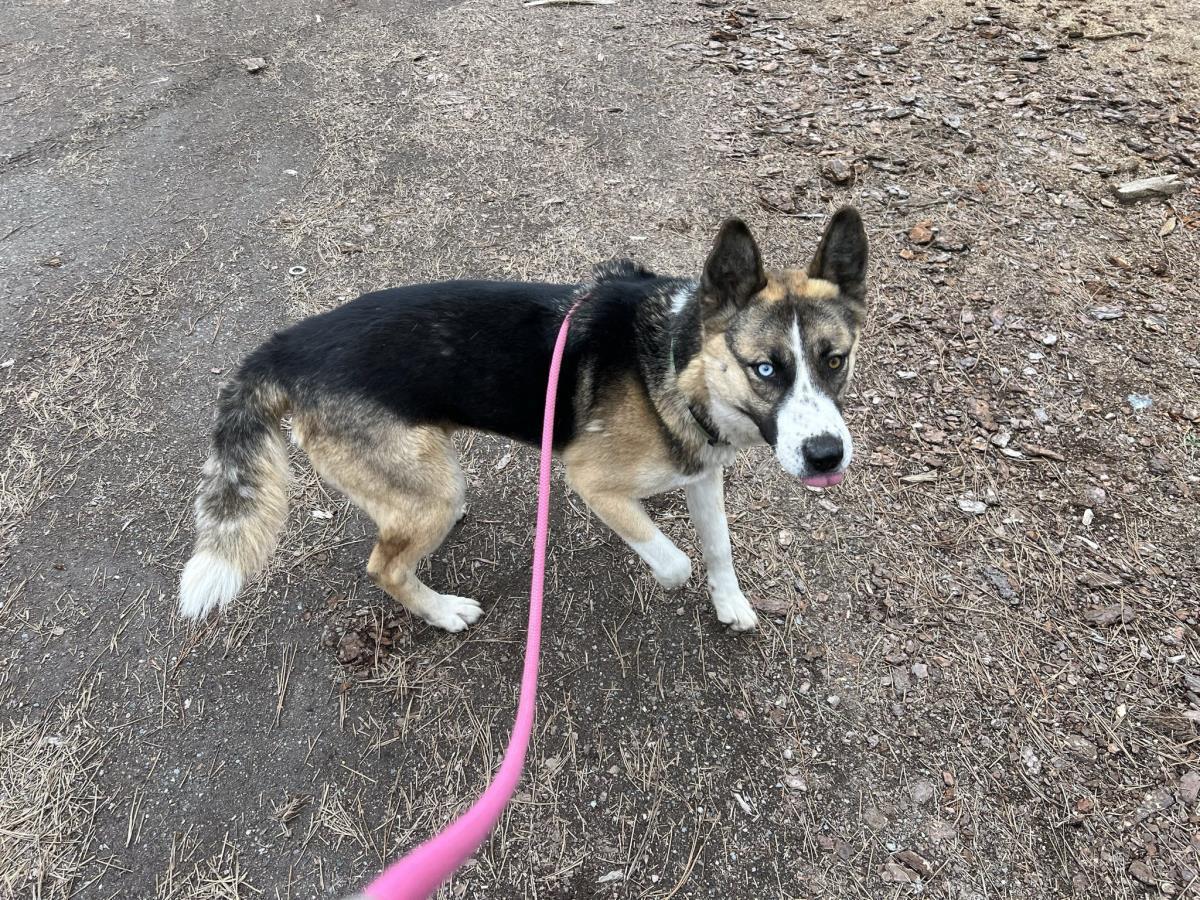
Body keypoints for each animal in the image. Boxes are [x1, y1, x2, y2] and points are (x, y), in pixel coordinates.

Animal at [177, 210, 868, 633]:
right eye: (765, 369)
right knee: (384, 567)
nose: (826, 455)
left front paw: (730, 603)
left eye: (835, 360)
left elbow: (719, 548)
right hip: (426, 494)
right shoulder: (593, 484)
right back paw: (443, 612)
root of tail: (284, 349)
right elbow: (673, 562)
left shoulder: (703, 475)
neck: (676, 361)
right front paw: (671, 575)